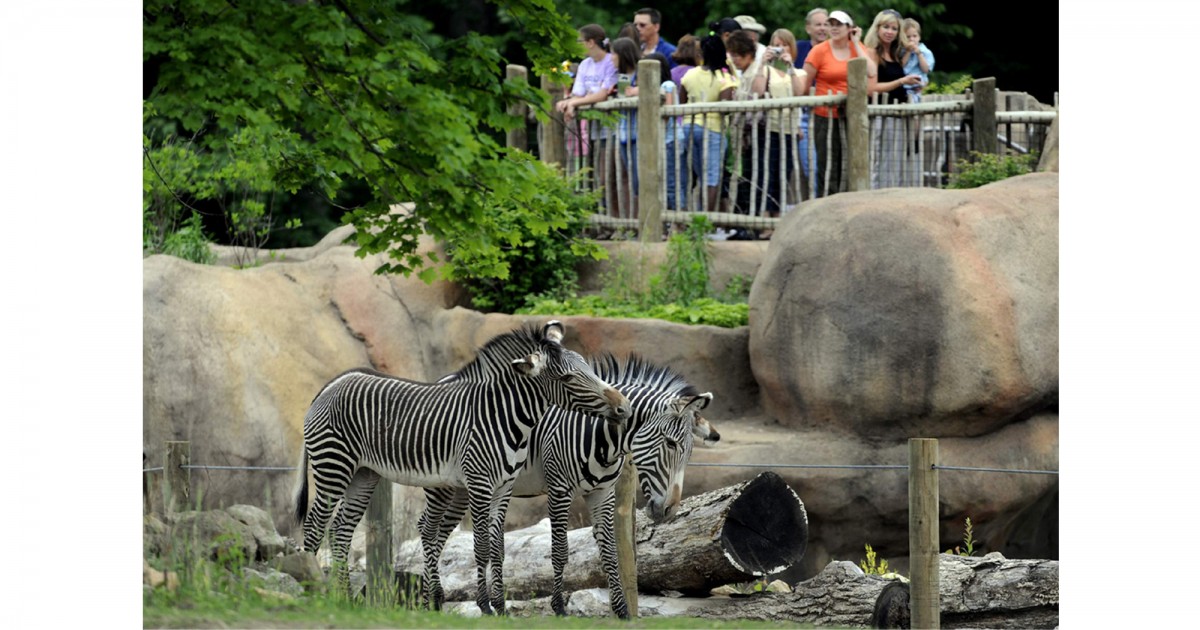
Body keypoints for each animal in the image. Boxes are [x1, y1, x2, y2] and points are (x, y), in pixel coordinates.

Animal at [291, 319, 633, 614]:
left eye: (588, 369)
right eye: (568, 379)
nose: (624, 408)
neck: (503, 415)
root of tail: (331, 384)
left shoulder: (503, 487)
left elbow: (497, 548)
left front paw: (499, 607)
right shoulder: (482, 484)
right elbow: (481, 547)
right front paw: (486, 607)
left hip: (364, 474)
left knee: (341, 531)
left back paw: (344, 599)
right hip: (334, 465)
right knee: (315, 527)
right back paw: (313, 594)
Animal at [424, 355, 715, 614]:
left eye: (690, 452)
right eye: (670, 443)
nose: (669, 511)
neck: (602, 436)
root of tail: (444, 378)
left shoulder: (603, 494)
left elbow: (610, 552)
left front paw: (622, 611)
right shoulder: (559, 490)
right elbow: (560, 551)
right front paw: (560, 608)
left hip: (463, 488)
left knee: (440, 534)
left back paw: (431, 602)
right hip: (442, 482)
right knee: (427, 529)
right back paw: (430, 601)